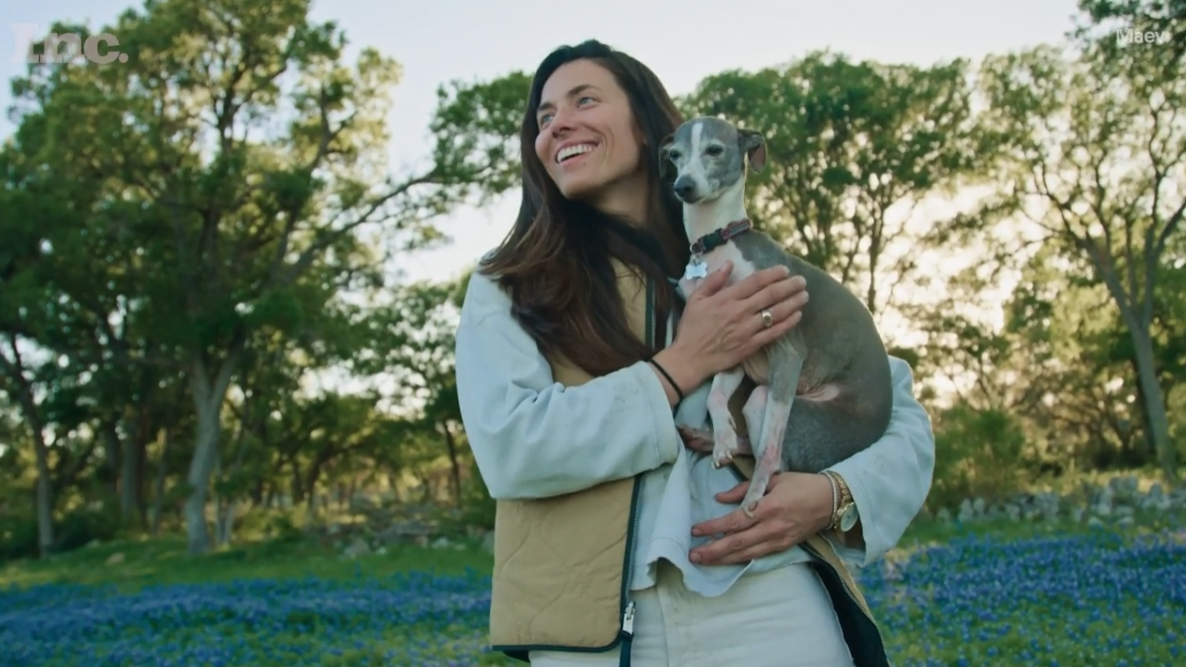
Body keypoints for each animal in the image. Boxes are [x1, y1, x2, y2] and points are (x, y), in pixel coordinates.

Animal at [659, 116, 894, 516]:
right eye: (675, 154)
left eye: (714, 150)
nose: (683, 187)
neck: (718, 243)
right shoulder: (732, 346)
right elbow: (714, 397)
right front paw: (722, 436)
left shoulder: (788, 351)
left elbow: (769, 450)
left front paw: (752, 495)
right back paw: (712, 439)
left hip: (783, 408)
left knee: (777, 460)